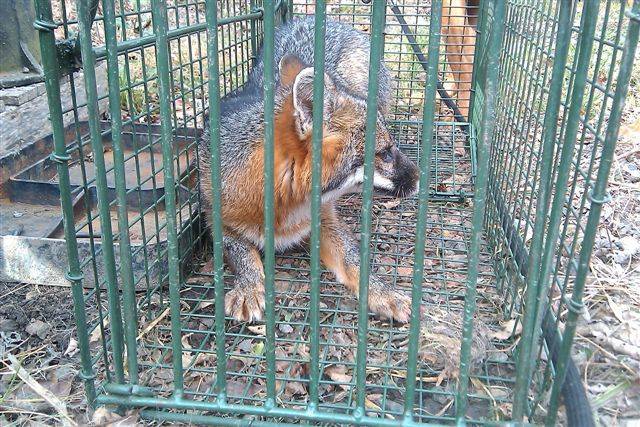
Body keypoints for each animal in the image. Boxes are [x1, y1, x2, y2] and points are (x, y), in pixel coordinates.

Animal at [198, 16, 420, 323]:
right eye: (385, 153)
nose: (420, 178)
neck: (284, 210)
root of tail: (327, 20)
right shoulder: (216, 219)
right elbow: (242, 253)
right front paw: (248, 286)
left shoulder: (325, 218)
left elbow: (354, 259)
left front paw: (381, 291)